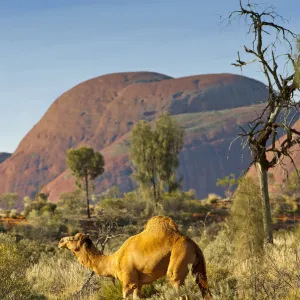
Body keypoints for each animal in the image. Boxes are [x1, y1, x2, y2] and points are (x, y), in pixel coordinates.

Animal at [58, 216, 212, 298]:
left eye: (72, 239)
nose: (60, 242)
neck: (114, 261)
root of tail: (194, 244)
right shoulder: (138, 284)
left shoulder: (128, 283)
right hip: (199, 268)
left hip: (178, 262)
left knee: (180, 290)